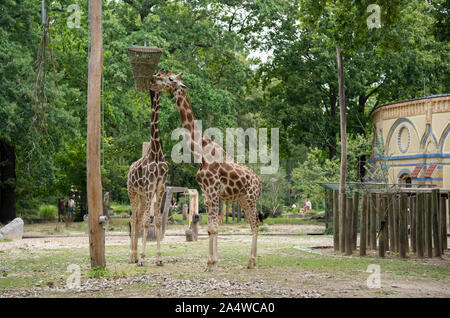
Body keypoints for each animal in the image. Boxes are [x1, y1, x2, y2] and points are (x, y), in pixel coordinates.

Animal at [158, 71, 264, 270]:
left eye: (171, 79)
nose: (157, 79)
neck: (201, 152)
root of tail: (259, 182)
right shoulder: (206, 192)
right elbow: (210, 228)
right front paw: (212, 262)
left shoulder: (213, 190)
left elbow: (214, 227)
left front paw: (212, 263)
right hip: (242, 199)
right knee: (254, 223)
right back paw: (251, 262)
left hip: (251, 197)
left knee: (255, 223)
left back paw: (251, 261)